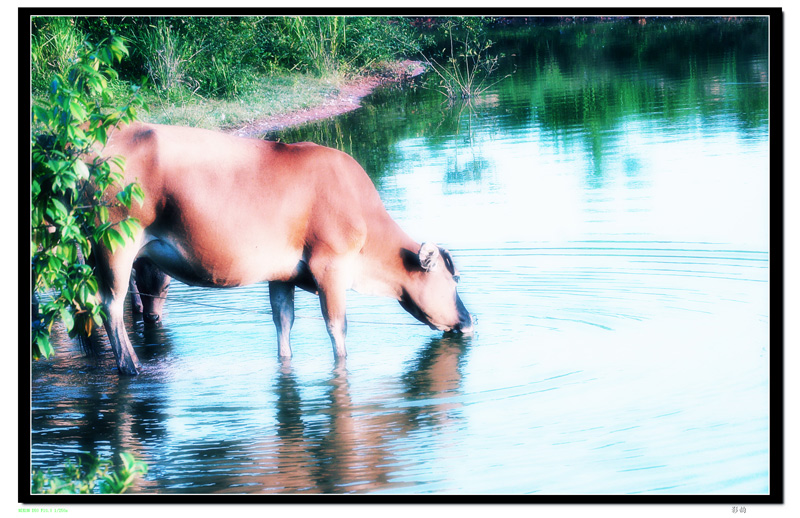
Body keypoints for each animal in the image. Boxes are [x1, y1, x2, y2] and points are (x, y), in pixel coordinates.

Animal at [90, 126, 472, 378]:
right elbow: (337, 327)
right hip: (115, 244)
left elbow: (283, 323)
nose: (470, 321)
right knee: (110, 305)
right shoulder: (330, 267)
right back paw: (131, 366)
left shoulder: (281, 275)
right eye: (454, 281)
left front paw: (284, 362)